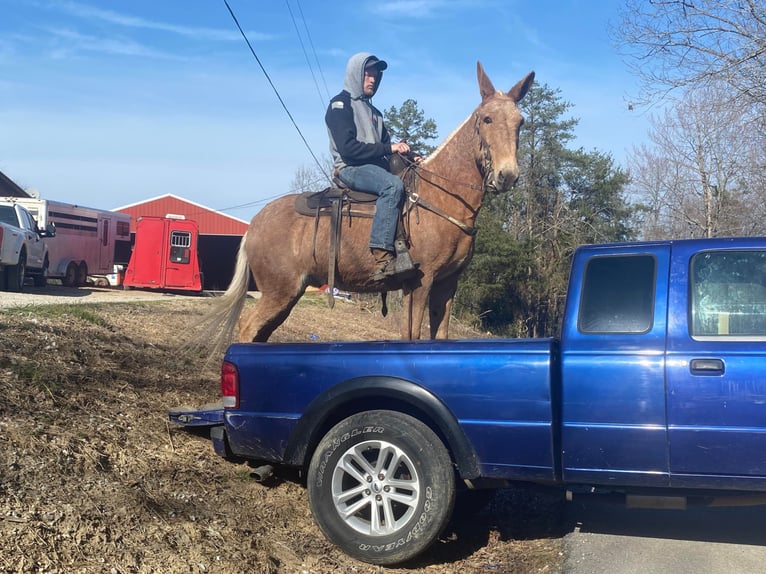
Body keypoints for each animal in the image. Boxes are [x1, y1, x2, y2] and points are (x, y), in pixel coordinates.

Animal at [207, 63, 536, 344]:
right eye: (487, 119)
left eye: (520, 121)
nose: (507, 175)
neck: (441, 195)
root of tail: (254, 225)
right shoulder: (422, 282)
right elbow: (413, 336)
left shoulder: (446, 284)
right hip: (279, 290)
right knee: (248, 328)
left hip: (288, 293)